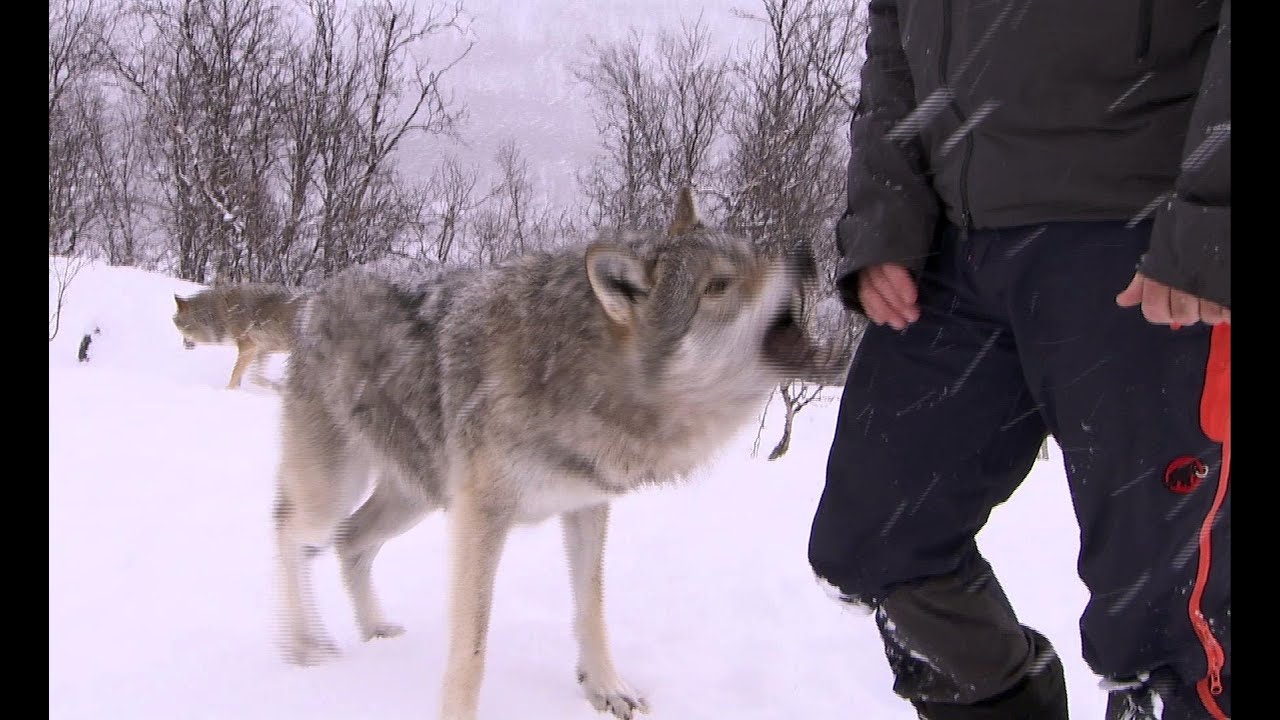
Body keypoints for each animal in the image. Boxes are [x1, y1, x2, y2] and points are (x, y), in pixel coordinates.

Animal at [171, 283, 302, 389]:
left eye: (180, 328)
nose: (186, 345)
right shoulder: (262, 349)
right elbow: (255, 377)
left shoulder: (248, 348)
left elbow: (237, 374)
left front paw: (228, 391)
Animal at [272, 187, 845, 720]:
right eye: (718, 286)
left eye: (755, 254)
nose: (804, 254)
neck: (581, 375)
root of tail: (317, 294)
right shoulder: (481, 520)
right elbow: (471, 648)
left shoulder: (586, 506)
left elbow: (592, 607)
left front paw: (606, 688)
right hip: (338, 491)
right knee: (289, 529)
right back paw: (303, 646)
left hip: (416, 496)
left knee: (350, 541)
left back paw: (376, 630)